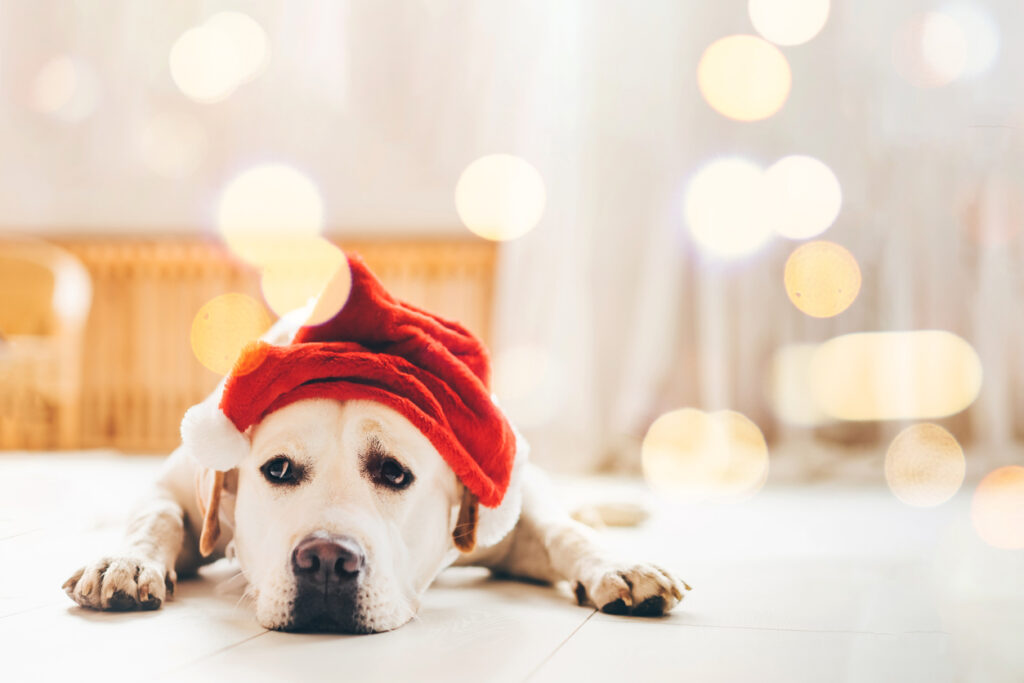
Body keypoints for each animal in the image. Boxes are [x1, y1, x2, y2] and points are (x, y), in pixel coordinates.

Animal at [61, 258, 688, 634]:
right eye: (278, 469)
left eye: (394, 473)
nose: (325, 560)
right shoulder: (182, 490)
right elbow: (157, 516)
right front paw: (125, 561)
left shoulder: (508, 526)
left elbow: (563, 532)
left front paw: (618, 565)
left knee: (568, 511)